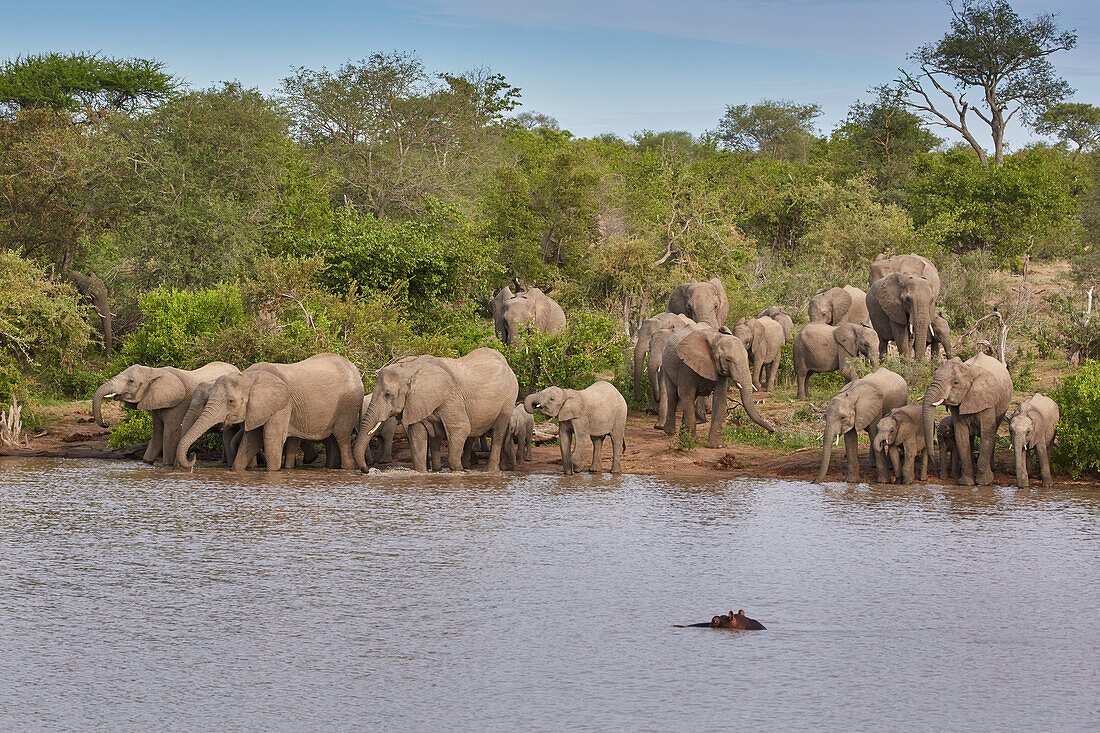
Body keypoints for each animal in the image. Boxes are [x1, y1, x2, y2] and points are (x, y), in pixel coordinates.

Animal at [94, 360, 240, 468]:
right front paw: (147, 463)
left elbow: (169, 435)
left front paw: (168, 466)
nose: (106, 423)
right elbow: (157, 436)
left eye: (131, 381)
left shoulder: (178, 404)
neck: (154, 371)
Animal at [176, 352, 363, 468]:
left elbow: (271, 439)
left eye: (230, 401)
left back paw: (346, 468)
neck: (248, 377)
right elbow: (250, 440)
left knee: (341, 436)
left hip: (348, 405)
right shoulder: (257, 408)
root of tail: (354, 369)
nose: (193, 456)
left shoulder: (282, 404)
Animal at [356, 347, 519, 471]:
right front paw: (423, 473)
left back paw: (490, 471)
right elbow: (417, 437)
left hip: (509, 397)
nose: (367, 469)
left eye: (388, 395)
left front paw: (458, 471)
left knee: (498, 432)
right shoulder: (417, 402)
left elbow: (461, 428)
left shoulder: (451, 398)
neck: (411, 369)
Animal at [919, 352, 1012, 484]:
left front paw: (985, 482)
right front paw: (966, 483)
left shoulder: (988, 401)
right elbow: (961, 436)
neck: (970, 371)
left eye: (956, 383)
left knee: (993, 431)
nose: (935, 471)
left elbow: (987, 434)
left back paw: (992, 468)